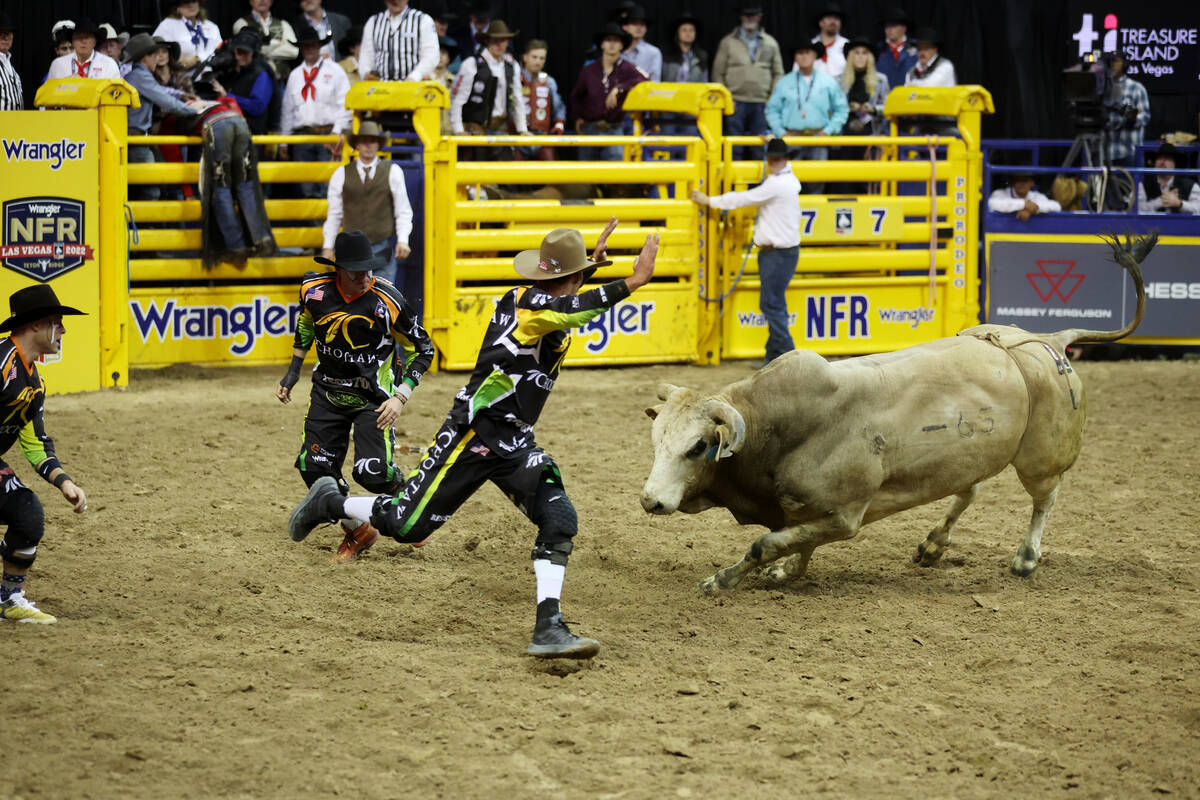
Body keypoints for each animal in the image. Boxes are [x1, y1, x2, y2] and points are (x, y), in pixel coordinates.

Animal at [643, 232, 1156, 594]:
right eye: (656, 441)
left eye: (698, 446)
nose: (650, 501)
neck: (786, 426)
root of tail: (1049, 342)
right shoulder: (807, 514)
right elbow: (796, 543)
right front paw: (788, 570)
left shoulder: (844, 517)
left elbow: (765, 543)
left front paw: (722, 580)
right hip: (971, 454)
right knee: (968, 490)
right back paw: (933, 544)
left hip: (1040, 459)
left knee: (1043, 498)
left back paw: (1026, 557)